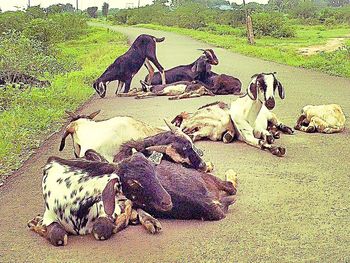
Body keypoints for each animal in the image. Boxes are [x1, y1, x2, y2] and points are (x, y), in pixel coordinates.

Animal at [26, 153, 172, 248]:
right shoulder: (49, 217)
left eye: (154, 171)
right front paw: (35, 223)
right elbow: (58, 237)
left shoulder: (108, 210)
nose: (168, 202)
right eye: (133, 182)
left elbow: (100, 230)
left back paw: (149, 221)